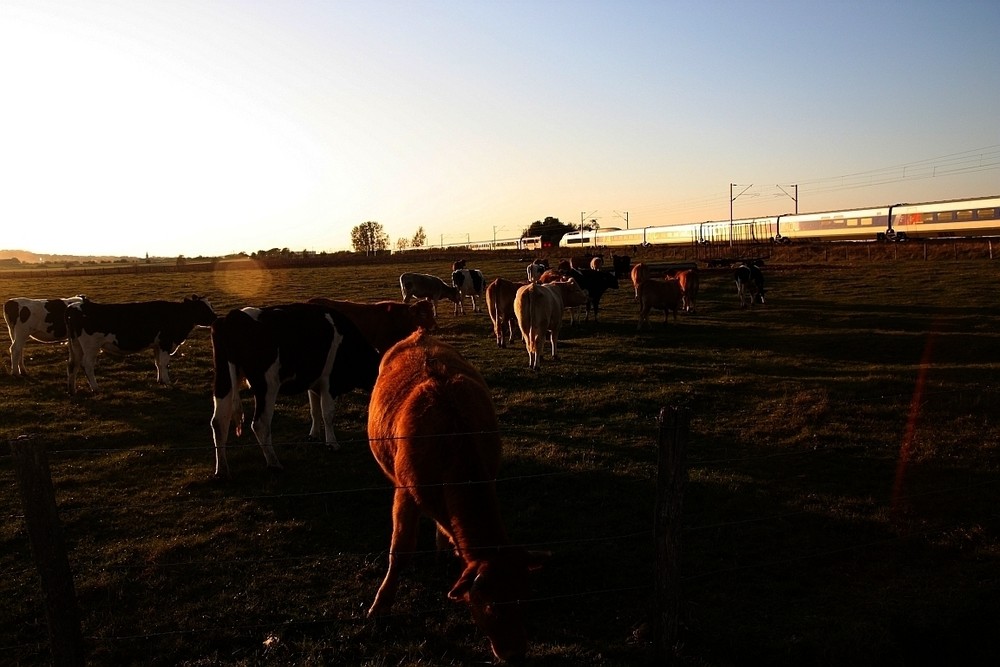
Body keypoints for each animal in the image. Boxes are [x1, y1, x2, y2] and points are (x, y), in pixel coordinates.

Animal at [65, 294, 218, 394]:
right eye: (202, 308)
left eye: (211, 305)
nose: (216, 318)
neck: (176, 315)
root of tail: (74, 306)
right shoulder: (165, 343)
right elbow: (164, 363)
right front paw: (168, 382)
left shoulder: (157, 345)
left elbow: (157, 363)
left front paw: (160, 381)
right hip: (91, 346)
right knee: (87, 365)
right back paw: (96, 388)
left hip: (76, 345)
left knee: (73, 365)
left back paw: (72, 390)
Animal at [211, 300, 382, 478]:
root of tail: (234, 316)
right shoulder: (330, 382)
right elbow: (328, 414)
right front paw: (332, 444)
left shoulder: (313, 383)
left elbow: (315, 411)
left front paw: (314, 435)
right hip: (267, 385)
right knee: (260, 423)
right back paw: (274, 463)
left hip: (224, 381)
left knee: (219, 422)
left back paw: (222, 470)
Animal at [366, 332, 544, 664]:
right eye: (490, 603)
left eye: (524, 597)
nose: (515, 653)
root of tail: (418, 334)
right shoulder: (405, 493)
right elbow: (400, 551)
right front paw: (381, 604)